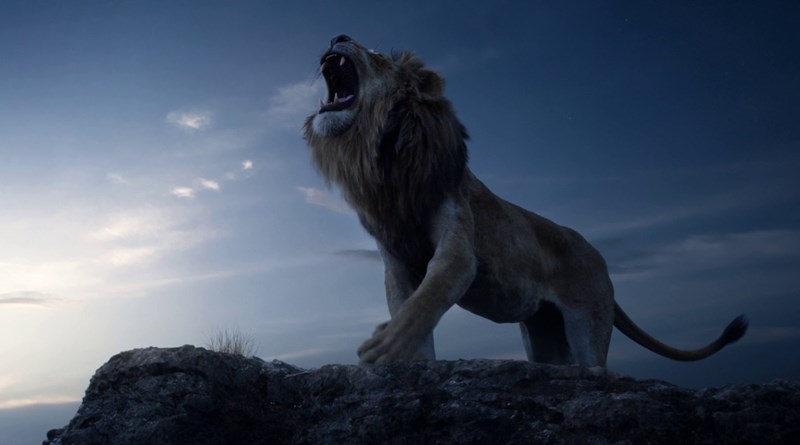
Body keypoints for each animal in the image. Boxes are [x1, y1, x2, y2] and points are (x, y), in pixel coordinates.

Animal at [303, 34, 748, 366]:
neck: (384, 159)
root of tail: (600, 258)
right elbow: (410, 310)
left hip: (588, 325)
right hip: (544, 336)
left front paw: (384, 345)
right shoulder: (395, 262)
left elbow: (430, 295)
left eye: (377, 56)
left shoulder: (459, 245)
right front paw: (407, 360)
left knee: (596, 367)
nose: (338, 35)